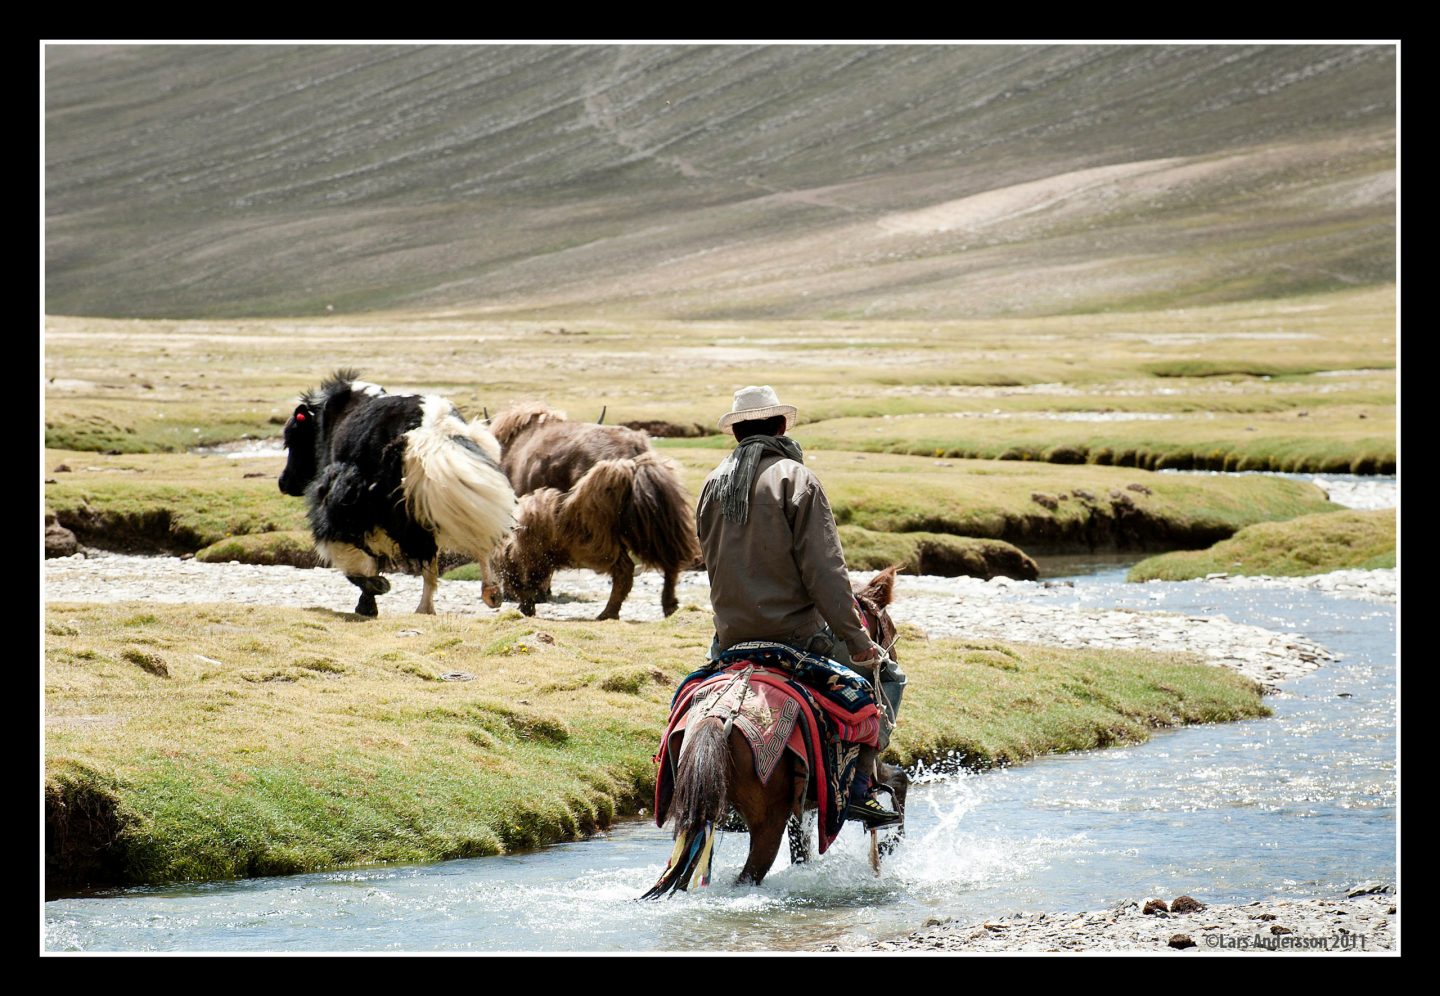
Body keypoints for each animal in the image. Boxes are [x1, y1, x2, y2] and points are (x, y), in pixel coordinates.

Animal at [645, 567, 904, 892]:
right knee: (748, 876)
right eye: (884, 625)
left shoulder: (803, 806)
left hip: (698, 813)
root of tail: (719, 716)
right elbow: (899, 780)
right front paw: (887, 842)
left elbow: (801, 850)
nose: (890, 662)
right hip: (767, 821)